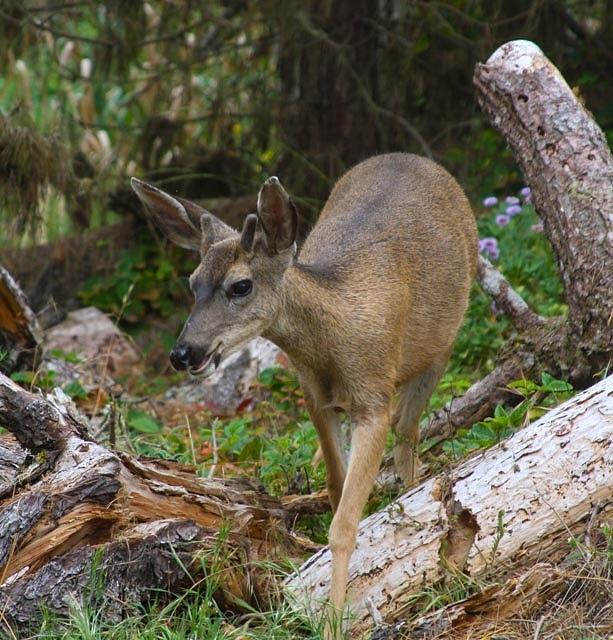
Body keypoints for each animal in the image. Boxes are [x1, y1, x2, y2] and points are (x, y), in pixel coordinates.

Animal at [131, 152, 478, 636]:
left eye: (241, 285)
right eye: (192, 282)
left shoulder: (373, 398)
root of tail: (412, 157)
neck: (334, 339)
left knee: (408, 435)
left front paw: (334, 623)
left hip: (442, 345)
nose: (183, 353)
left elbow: (345, 525)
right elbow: (334, 489)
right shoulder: (316, 399)